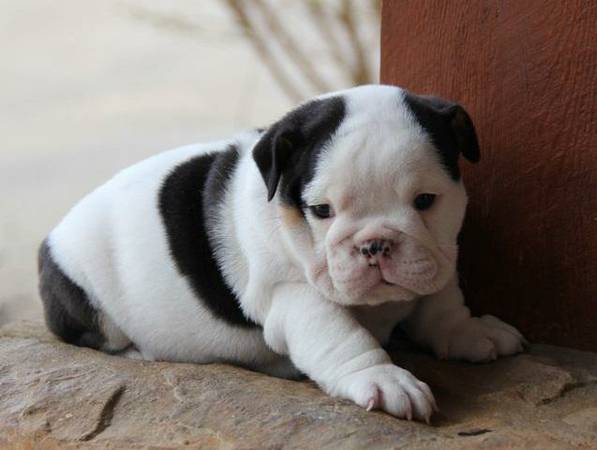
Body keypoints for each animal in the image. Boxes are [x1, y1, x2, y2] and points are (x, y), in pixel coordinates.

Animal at [38, 84, 520, 422]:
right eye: (321, 210)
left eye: (425, 201)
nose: (375, 244)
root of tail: (52, 236)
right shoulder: (293, 295)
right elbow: (341, 336)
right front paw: (381, 377)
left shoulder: (438, 259)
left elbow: (441, 304)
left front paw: (470, 330)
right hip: (87, 297)